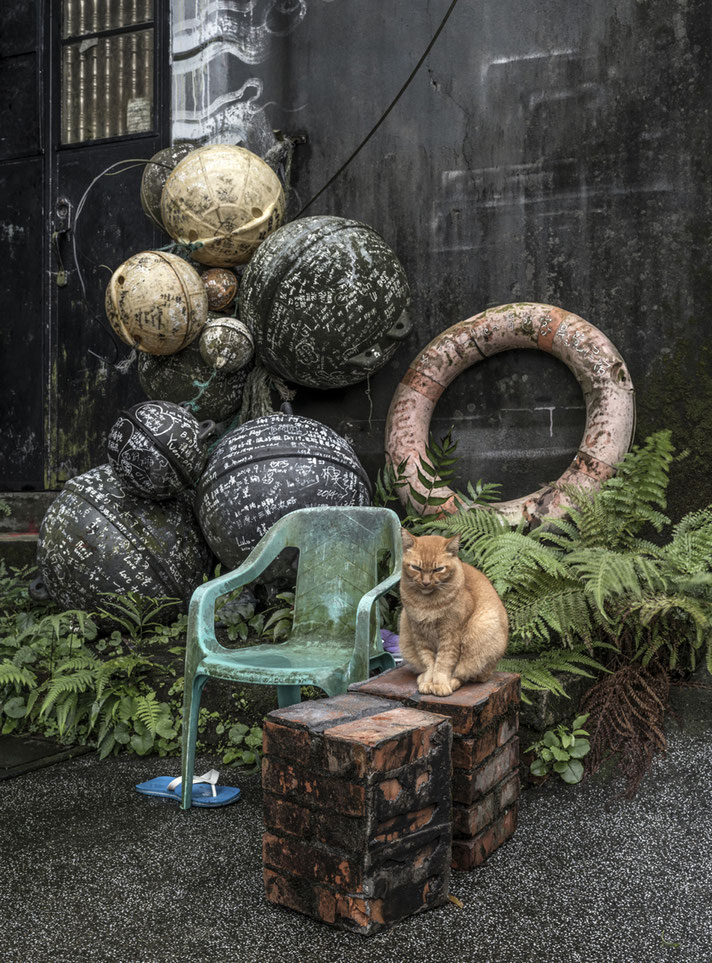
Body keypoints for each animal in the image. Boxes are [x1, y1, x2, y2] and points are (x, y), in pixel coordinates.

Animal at [398, 532, 508, 696]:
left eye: (438, 569)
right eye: (416, 567)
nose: (426, 583)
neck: (427, 603)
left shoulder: (450, 634)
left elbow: (443, 662)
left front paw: (440, 684)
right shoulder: (419, 633)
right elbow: (428, 662)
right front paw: (428, 681)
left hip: (481, 630)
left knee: (470, 676)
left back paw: (452, 682)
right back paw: (422, 677)